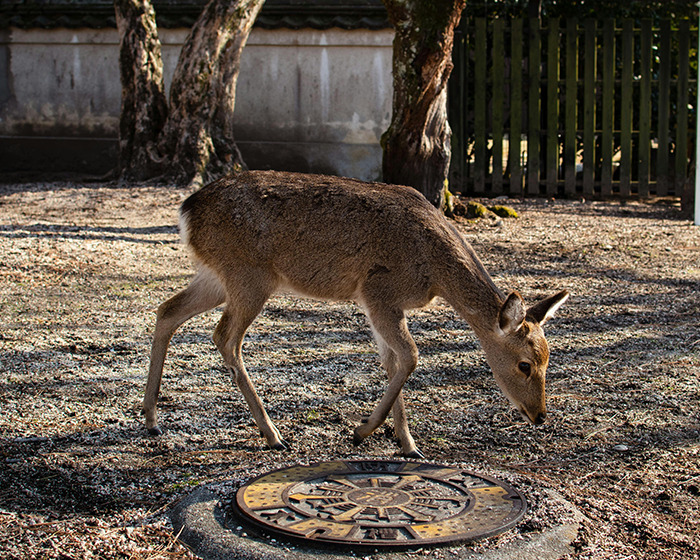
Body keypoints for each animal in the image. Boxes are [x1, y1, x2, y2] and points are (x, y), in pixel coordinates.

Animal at [143, 170, 569, 458]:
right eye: (525, 364)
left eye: (550, 360)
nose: (540, 415)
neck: (434, 272)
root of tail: (186, 211)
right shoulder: (378, 289)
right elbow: (411, 357)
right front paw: (363, 430)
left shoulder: (376, 304)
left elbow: (392, 361)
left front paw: (407, 444)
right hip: (249, 274)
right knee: (225, 337)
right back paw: (273, 434)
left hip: (216, 274)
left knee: (167, 311)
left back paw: (150, 419)